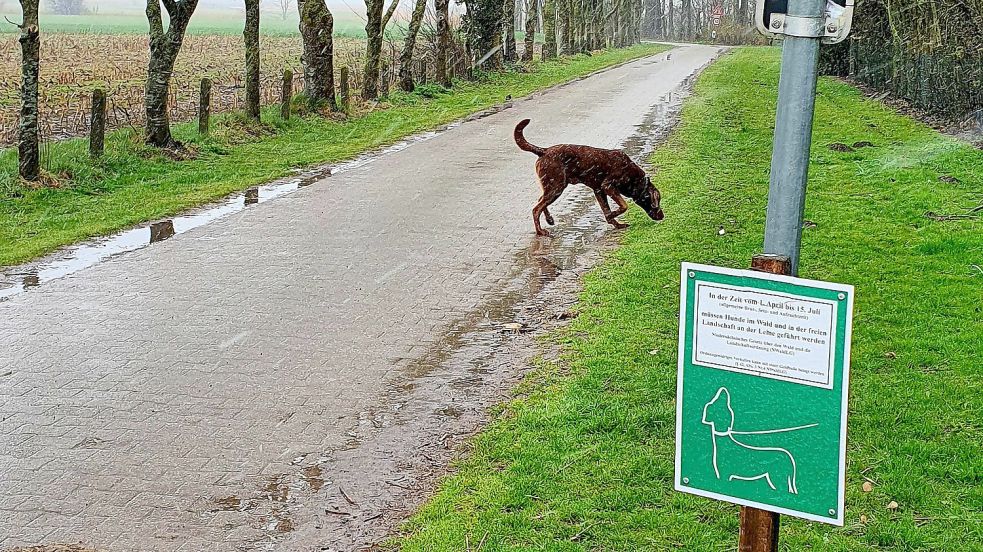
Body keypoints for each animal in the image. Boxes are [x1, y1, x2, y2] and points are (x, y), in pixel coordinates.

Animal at [512, 118, 664, 235]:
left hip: (551, 186)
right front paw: (613, 215)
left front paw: (616, 223)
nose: (663, 216)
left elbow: (607, 210)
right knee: (536, 209)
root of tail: (544, 151)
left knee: (540, 201)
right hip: (556, 187)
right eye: (657, 201)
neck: (635, 179)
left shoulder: (599, 190)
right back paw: (540, 232)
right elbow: (624, 205)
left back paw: (549, 220)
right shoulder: (607, 186)